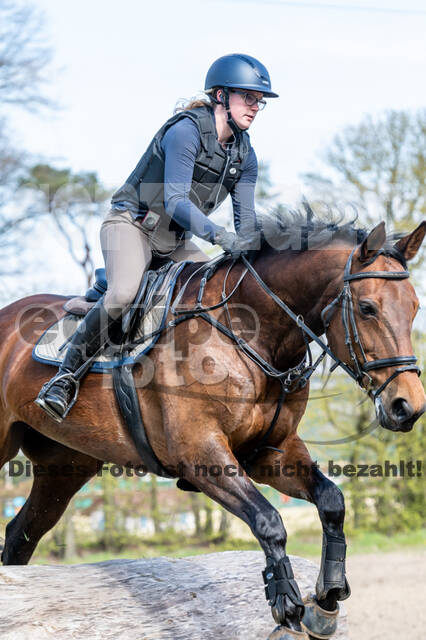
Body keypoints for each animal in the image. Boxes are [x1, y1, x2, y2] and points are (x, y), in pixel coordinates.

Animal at [0, 215, 424, 640]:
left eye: (415, 307)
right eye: (367, 308)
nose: (408, 407)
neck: (251, 333)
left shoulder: (271, 453)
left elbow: (332, 501)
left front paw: (327, 601)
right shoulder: (200, 454)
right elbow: (269, 521)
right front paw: (286, 609)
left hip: (65, 467)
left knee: (21, 534)